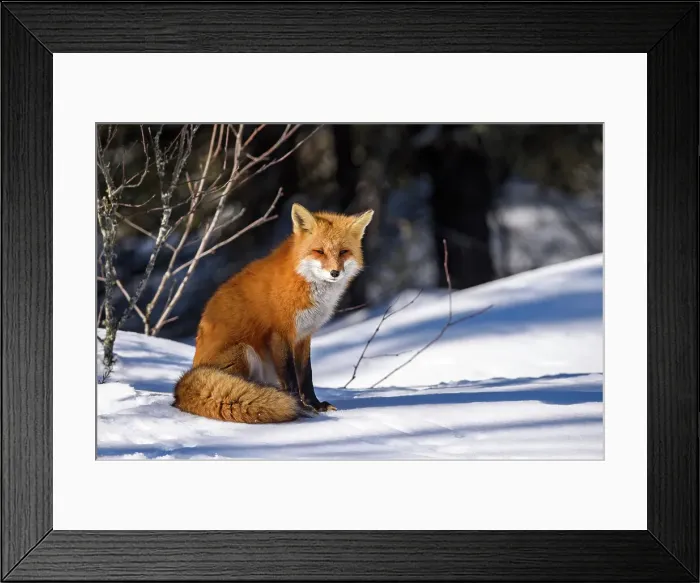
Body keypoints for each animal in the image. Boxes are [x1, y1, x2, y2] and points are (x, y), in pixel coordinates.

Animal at [173, 202, 374, 424]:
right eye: (319, 251)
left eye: (344, 252)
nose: (335, 273)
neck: (302, 279)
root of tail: (180, 390)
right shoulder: (280, 333)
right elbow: (290, 377)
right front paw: (299, 406)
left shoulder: (303, 336)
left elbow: (306, 375)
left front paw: (315, 405)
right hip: (245, 351)